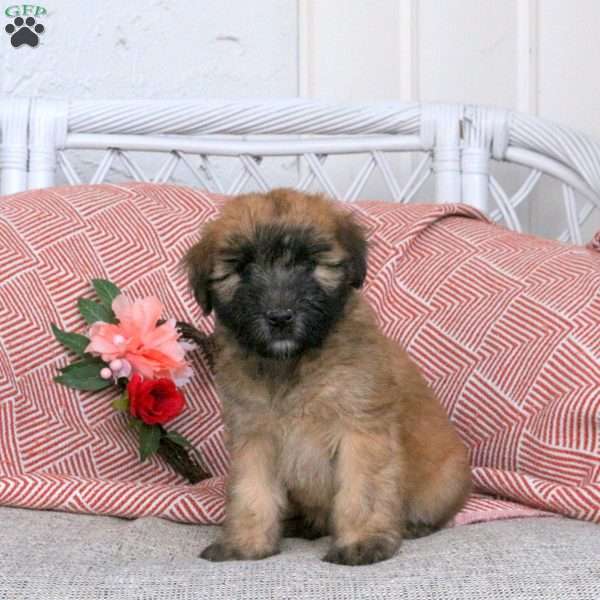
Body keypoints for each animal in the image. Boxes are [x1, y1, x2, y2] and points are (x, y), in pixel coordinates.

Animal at [183, 190, 468, 564]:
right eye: (242, 269)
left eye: (309, 264)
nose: (280, 317)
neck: (292, 365)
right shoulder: (254, 436)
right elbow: (251, 493)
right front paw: (245, 543)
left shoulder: (361, 429)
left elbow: (362, 490)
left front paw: (362, 541)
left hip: (446, 479)